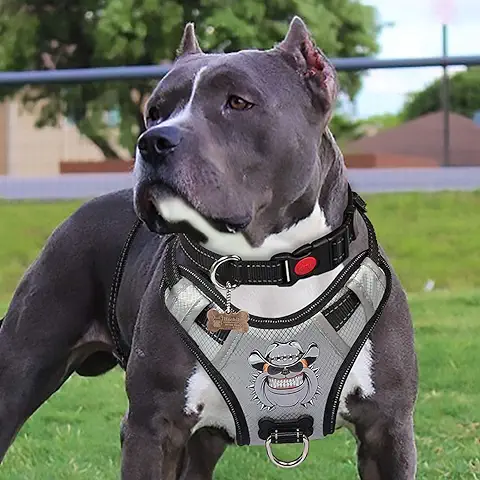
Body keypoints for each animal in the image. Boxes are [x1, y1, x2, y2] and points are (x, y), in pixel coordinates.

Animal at [0, 15, 416, 480]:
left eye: (238, 103)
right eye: (154, 111)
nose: (152, 140)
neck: (267, 266)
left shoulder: (387, 427)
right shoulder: (153, 428)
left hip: (203, 443)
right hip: (19, 368)